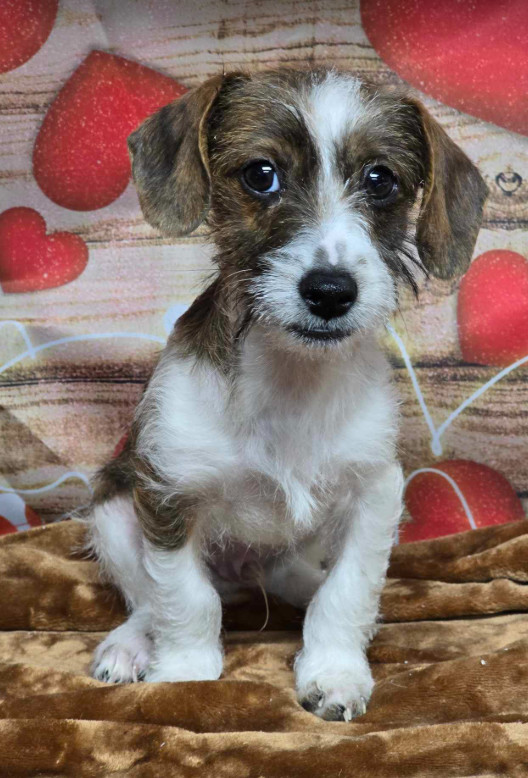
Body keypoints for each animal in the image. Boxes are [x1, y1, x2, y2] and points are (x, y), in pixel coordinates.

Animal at [85, 68, 486, 720]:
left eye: (381, 179)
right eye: (260, 174)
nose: (330, 291)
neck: (291, 378)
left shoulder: (374, 492)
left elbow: (346, 594)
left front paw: (334, 672)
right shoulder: (167, 494)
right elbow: (184, 598)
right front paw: (185, 675)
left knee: (299, 581)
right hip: (112, 510)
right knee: (146, 598)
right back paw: (129, 645)